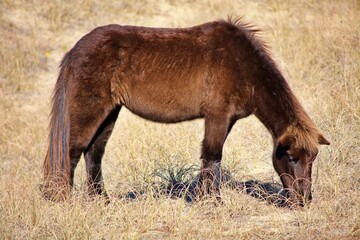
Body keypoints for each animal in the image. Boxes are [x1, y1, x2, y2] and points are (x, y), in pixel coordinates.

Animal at [42, 17, 330, 205]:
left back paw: (102, 201)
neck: (242, 65)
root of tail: (75, 51)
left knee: (94, 154)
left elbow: (211, 159)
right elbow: (212, 156)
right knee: (71, 152)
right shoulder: (217, 116)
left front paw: (206, 198)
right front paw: (212, 202)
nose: (304, 200)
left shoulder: (227, 120)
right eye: (291, 157)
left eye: (313, 159)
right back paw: (64, 202)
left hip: (109, 114)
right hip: (89, 112)